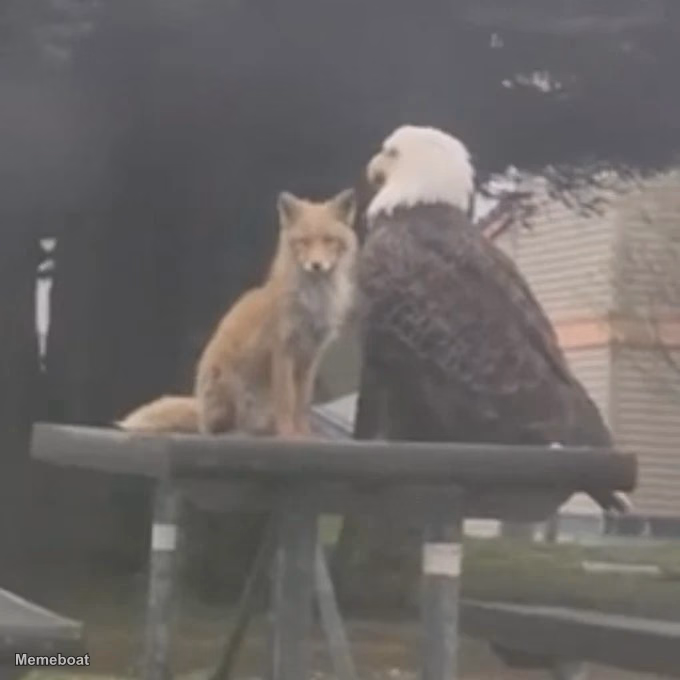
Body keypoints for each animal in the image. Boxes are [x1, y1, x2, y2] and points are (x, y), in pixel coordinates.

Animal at [116, 188, 358, 437]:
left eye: (329, 240)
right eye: (303, 242)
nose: (316, 265)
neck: (313, 302)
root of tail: (201, 410)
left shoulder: (311, 356)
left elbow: (301, 404)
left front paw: (304, 433)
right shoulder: (282, 349)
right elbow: (286, 400)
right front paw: (287, 435)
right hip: (226, 387)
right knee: (215, 430)